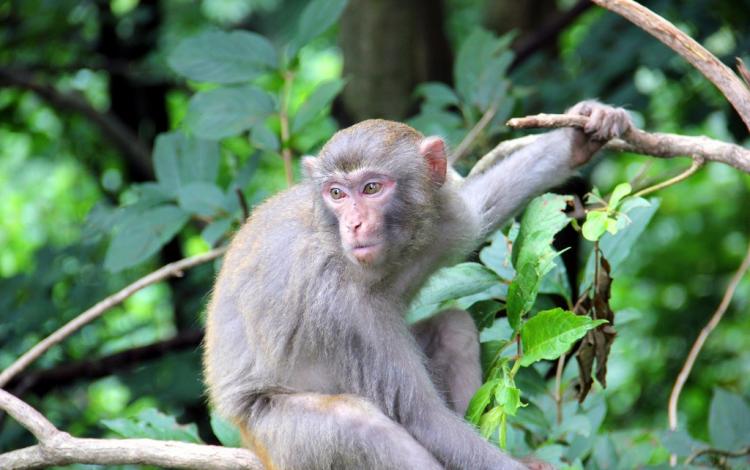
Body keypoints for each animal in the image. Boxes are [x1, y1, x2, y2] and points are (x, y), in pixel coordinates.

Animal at [204, 101, 636, 468]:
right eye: (336, 194)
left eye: (372, 188)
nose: (353, 224)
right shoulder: (339, 304)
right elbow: (419, 416)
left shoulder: (443, 218)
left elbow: (484, 207)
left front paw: (580, 138)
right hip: (272, 431)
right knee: (359, 424)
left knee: (454, 328)